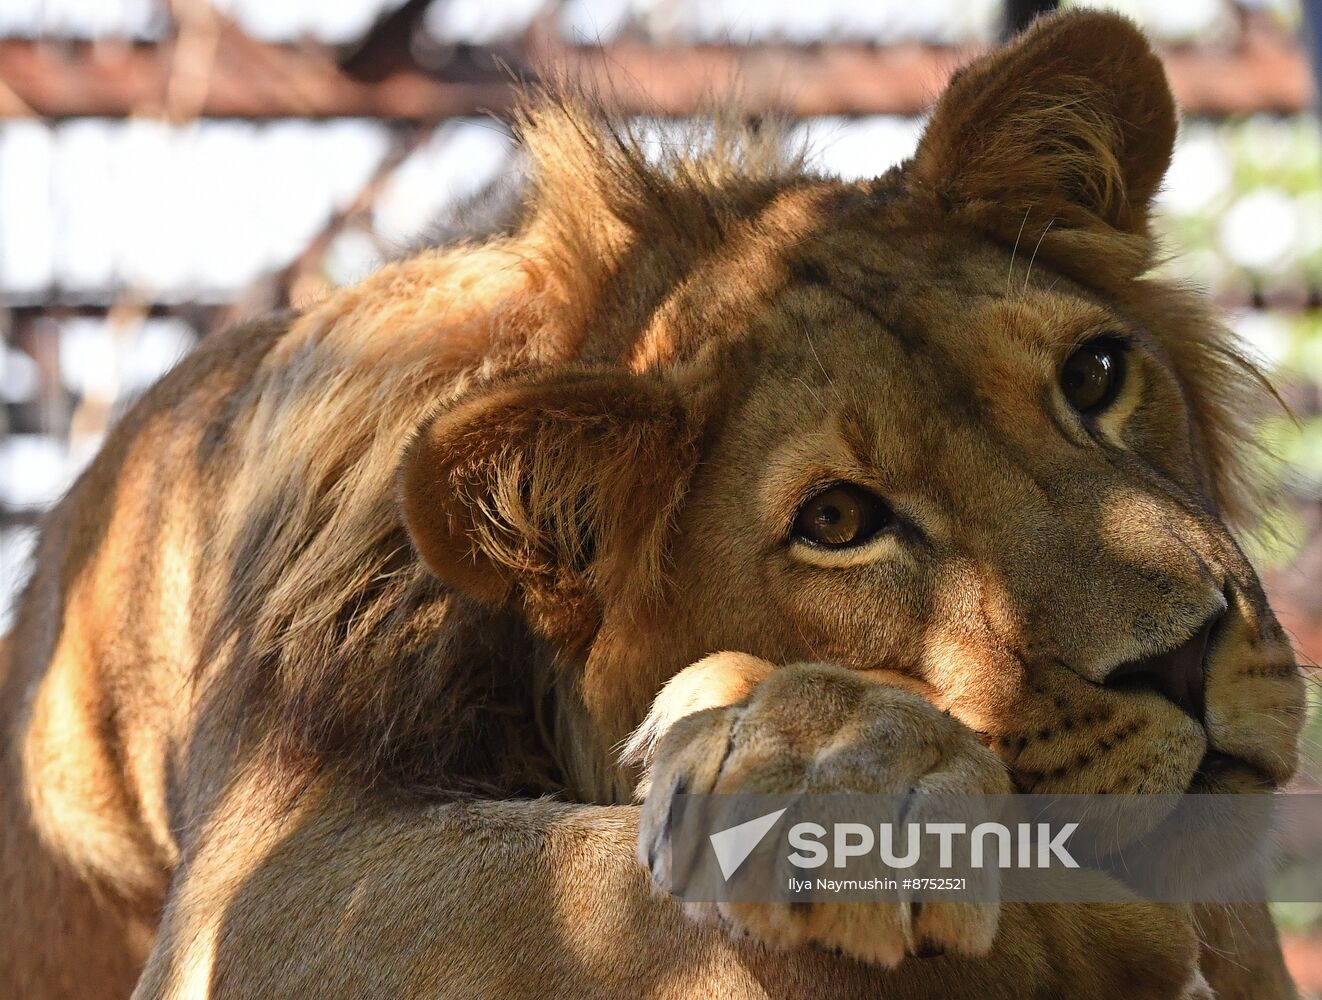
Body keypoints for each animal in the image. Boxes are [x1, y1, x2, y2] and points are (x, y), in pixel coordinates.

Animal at [0, 9, 1300, 1000]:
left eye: (1094, 376)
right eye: (836, 522)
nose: (1184, 655)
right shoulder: (264, 880)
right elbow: (565, 880)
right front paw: (867, 790)